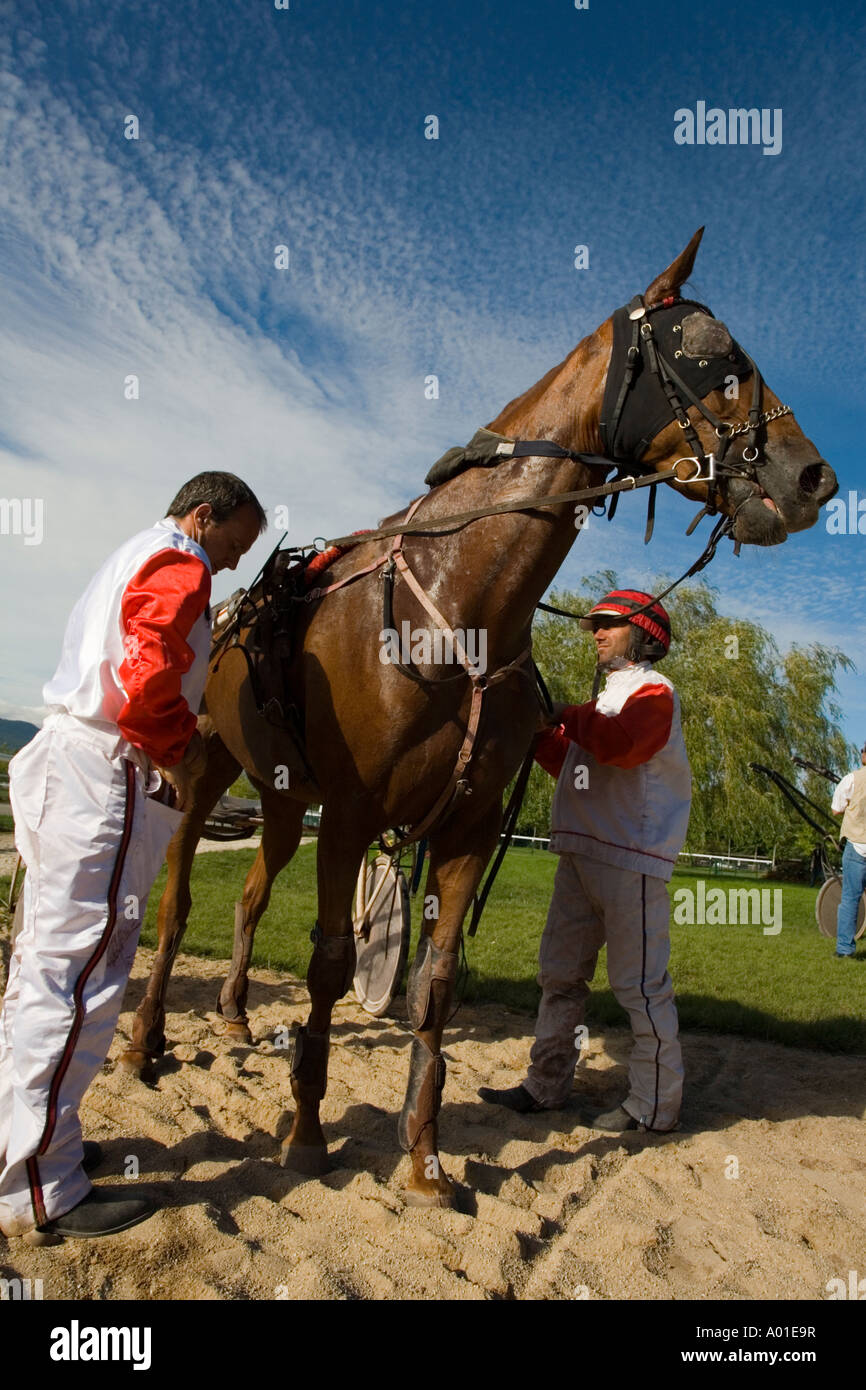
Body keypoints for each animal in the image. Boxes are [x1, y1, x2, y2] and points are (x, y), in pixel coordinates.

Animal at [119, 228, 837, 1207]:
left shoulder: (466, 825)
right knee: (180, 901)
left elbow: (436, 987)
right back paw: (146, 1040)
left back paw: (231, 1016)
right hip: (202, 775)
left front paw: (422, 1160)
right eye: (711, 354)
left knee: (251, 895)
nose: (815, 478)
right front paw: (307, 1133)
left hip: (280, 797)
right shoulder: (349, 816)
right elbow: (331, 963)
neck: (455, 603)